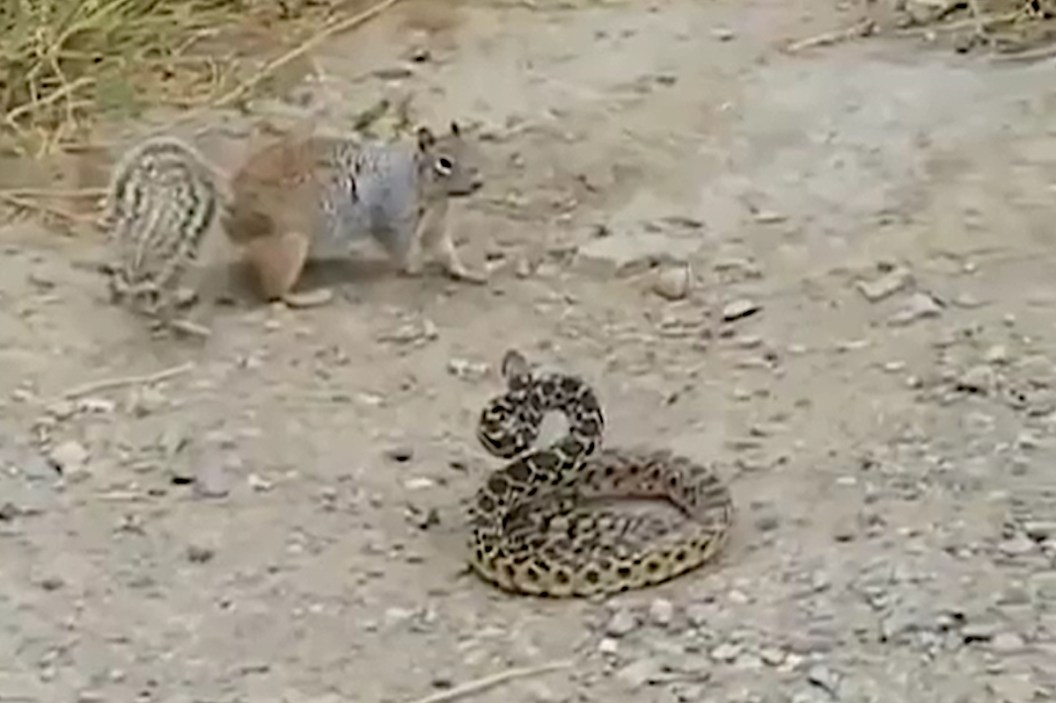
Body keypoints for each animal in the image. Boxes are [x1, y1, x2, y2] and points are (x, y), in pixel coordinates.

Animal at [102, 120, 485, 330]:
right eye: (445, 162)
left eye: (472, 150)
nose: (478, 181)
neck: (426, 189)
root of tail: (233, 199)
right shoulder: (391, 214)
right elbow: (400, 246)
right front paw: (413, 266)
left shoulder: (437, 223)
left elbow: (446, 250)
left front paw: (469, 272)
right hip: (290, 242)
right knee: (275, 292)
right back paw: (309, 297)